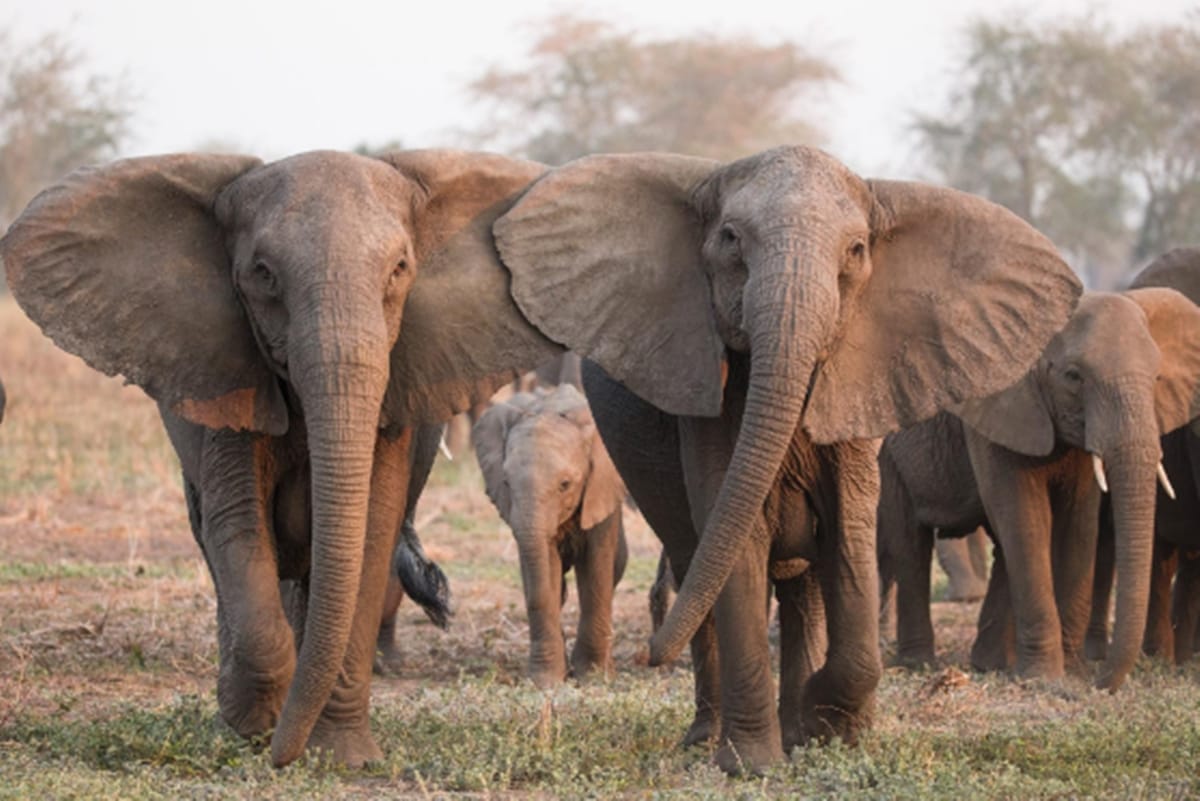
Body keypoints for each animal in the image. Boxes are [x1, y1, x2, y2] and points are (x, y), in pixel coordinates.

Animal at [0, 149, 560, 767]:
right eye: (263, 273)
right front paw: (254, 727)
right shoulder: (227, 378)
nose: (279, 756)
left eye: (399, 269)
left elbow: (370, 532)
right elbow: (238, 525)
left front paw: (340, 756)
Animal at [472, 384, 628, 687]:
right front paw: (546, 681)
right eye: (506, 482)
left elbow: (597, 571)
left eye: (565, 484)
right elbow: (543, 572)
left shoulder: (601, 489)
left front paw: (593, 677)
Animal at [490, 145, 1082, 773]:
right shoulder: (710, 399)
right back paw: (710, 736)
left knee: (802, 587)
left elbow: (849, 534)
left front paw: (829, 725)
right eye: (729, 239)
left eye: (857, 250)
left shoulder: (859, 384)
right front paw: (752, 764)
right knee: (697, 562)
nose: (650, 654)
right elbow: (737, 538)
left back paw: (796, 726)